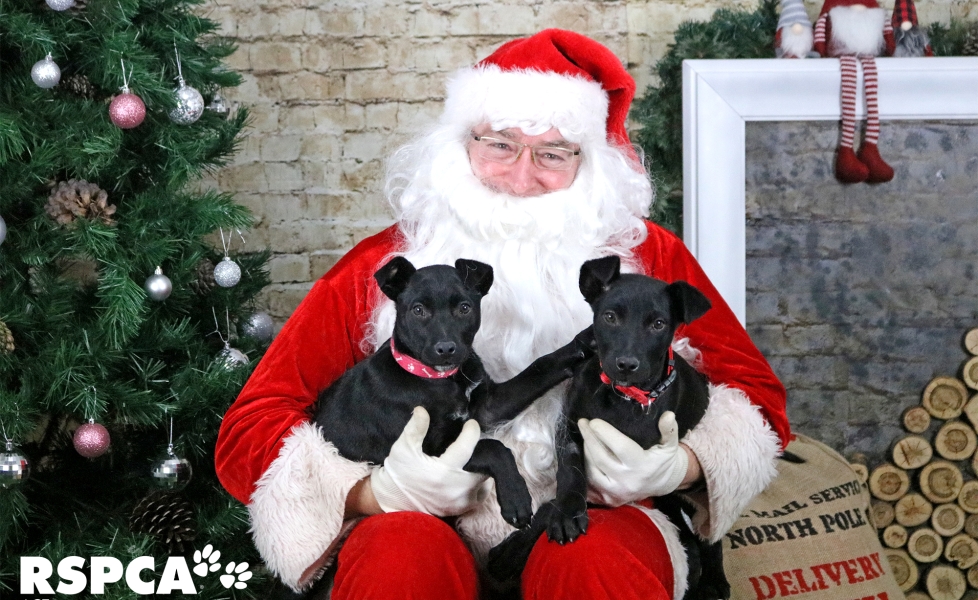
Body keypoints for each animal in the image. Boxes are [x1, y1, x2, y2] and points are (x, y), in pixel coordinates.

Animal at [314, 255, 588, 528]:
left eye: (464, 308)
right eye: (418, 310)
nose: (446, 349)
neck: (442, 379)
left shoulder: (489, 407)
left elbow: (539, 367)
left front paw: (582, 342)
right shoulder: (430, 453)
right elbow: (493, 448)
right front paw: (516, 498)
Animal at [486, 254, 724, 600]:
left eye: (659, 324)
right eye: (610, 317)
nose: (626, 364)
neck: (620, 397)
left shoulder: (621, 477)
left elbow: (558, 501)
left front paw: (522, 544)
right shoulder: (570, 431)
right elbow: (569, 477)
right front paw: (562, 517)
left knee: (710, 531)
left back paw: (714, 580)